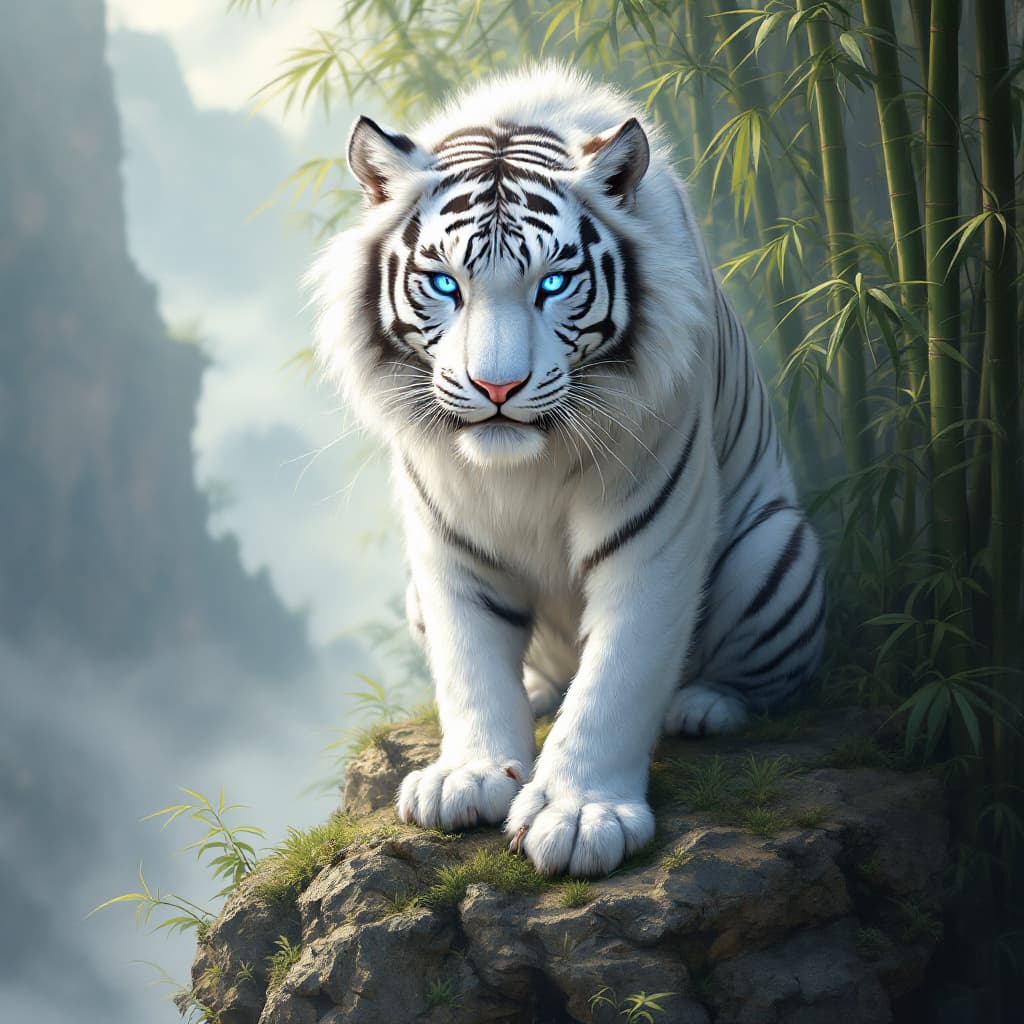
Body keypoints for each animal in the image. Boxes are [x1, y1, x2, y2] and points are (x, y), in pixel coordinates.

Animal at [311, 65, 825, 877]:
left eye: (552, 284)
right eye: (445, 284)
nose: (496, 387)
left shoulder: (654, 528)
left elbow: (619, 675)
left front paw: (582, 816)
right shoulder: (444, 543)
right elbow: (467, 663)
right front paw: (468, 776)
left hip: (773, 549)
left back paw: (705, 707)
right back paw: (535, 693)